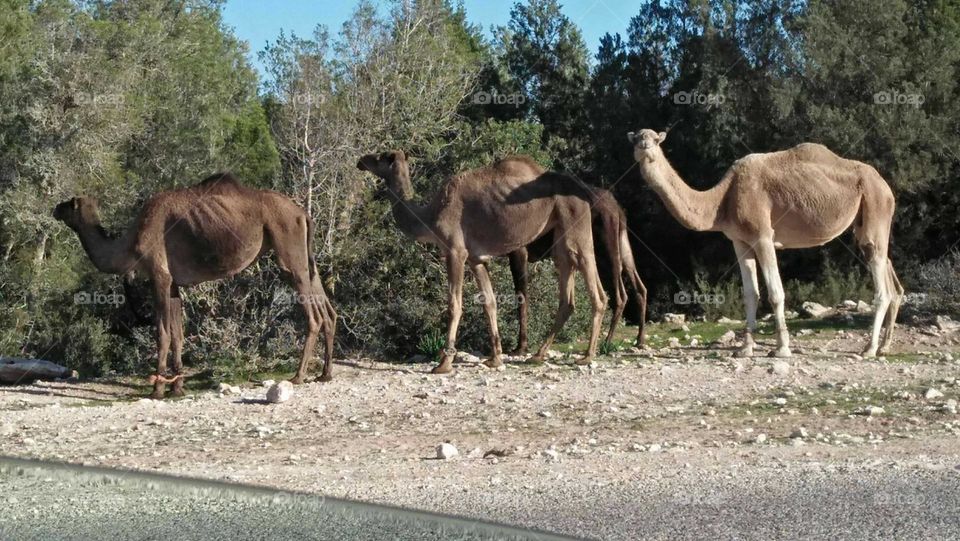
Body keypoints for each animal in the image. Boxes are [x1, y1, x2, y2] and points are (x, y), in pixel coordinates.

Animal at [54, 173, 338, 396]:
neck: (130, 243)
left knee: (313, 315)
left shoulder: (159, 276)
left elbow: (162, 333)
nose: (55, 208)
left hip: (288, 249)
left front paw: (157, 390)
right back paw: (325, 373)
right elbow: (178, 333)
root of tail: (303, 214)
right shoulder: (173, 283)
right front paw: (178, 387)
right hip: (305, 258)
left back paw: (298, 376)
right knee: (327, 308)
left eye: (69, 204)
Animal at [356, 150, 604, 374]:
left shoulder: (455, 251)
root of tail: (585, 191)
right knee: (568, 290)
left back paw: (587, 356)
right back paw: (538, 354)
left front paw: (444, 364)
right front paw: (495, 358)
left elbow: (454, 304)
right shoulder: (476, 259)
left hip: (575, 222)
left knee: (593, 282)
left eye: (379, 157)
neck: (430, 216)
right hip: (560, 234)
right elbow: (489, 302)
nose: (361, 161)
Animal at [506, 188, 648, 352]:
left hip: (604, 246)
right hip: (621, 241)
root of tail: (617, 208)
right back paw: (639, 340)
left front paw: (520, 347)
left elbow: (521, 297)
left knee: (620, 295)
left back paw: (606, 343)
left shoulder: (519, 251)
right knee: (639, 287)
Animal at [628, 130, 904, 358]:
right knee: (887, 270)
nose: (643, 145)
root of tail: (886, 187)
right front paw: (744, 349)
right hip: (866, 220)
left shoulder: (763, 236)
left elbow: (775, 293)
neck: (723, 200)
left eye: (655, 139)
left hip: (875, 205)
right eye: (636, 138)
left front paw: (781, 349)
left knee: (881, 281)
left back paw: (869, 348)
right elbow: (751, 293)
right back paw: (883, 346)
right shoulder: (739, 241)